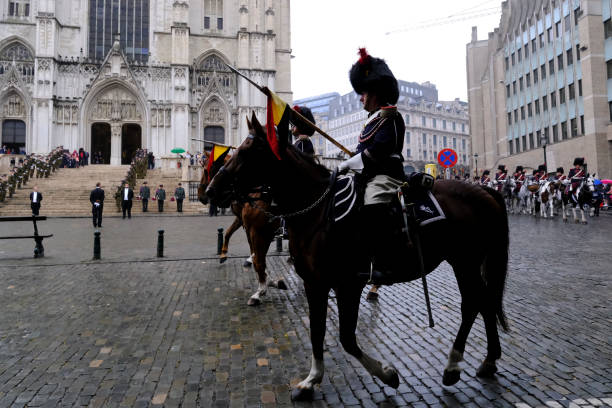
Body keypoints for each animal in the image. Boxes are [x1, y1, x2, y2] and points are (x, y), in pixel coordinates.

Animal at [198, 148, 290, 304]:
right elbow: (229, 234)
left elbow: (258, 258)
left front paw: (261, 289)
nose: (201, 196)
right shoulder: (246, 223)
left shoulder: (259, 232)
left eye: (205, 170)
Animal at [208, 113, 510, 400]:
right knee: (484, 301)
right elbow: (316, 331)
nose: (211, 190)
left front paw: (388, 374)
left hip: (465, 260)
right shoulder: (314, 282)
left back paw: (453, 366)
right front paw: (311, 380)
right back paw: (489, 360)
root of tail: (483, 189)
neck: (318, 212)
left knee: (473, 303)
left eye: (251, 150)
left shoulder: (347, 284)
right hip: (466, 261)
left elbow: (346, 339)